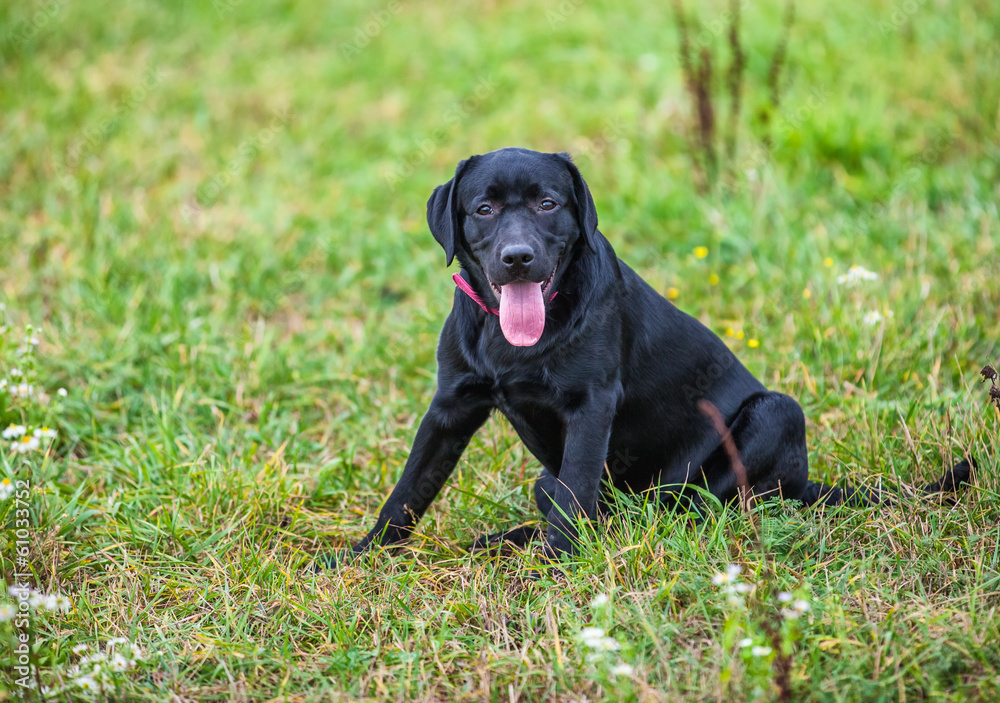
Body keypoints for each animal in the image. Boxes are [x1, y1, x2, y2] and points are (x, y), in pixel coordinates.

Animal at [344, 147, 968, 560]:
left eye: (547, 203)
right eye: (483, 210)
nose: (517, 258)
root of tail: (808, 485)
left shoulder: (591, 404)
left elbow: (575, 489)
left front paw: (556, 564)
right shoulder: (451, 407)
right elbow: (408, 491)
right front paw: (361, 557)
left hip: (772, 414)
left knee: (692, 507)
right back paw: (507, 539)